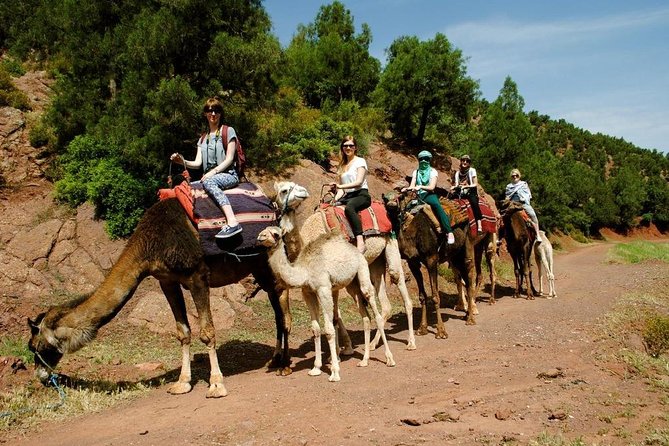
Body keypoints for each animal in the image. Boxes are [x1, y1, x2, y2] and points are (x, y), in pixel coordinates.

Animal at [26, 183, 308, 398]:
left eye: (37, 347)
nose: (41, 376)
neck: (151, 245)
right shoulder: (167, 281)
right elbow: (183, 332)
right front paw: (182, 383)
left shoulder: (197, 276)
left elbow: (207, 332)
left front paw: (216, 384)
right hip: (257, 266)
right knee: (277, 308)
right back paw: (274, 360)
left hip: (266, 260)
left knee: (283, 306)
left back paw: (284, 366)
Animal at [254, 226, 392, 384]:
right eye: (263, 230)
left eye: (276, 234)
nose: (260, 237)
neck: (305, 271)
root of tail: (356, 250)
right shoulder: (308, 293)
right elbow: (315, 329)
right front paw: (316, 368)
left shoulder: (323, 288)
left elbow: (329, 329)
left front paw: (335, 372)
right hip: (352, 285)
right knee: (366, 318)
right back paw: (364, 360)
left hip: (362, 271)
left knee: (376, 312)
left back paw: (389, 359)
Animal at [270, 180, 412, 352]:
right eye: (283, 190)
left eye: (295, 186)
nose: (303, 191)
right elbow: (336, 315)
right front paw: (344, 348)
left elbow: (334, 315)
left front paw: (340, 350)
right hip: (374, 262)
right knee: (384, 301)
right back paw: (372, 344)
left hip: (390, 242)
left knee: (398, 281)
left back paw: (411, 342)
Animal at [380, 190, 496, 332]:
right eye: (385, 199)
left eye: (400, 197)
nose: (391, 205)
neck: (413, 236)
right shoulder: (413, 263)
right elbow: (422, 295)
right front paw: (422, 328)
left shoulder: (431, 259)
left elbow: (435, 296)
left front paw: (441, 330)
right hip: (455, 254)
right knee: (464, 276)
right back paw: (467, 312)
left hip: (471, 242)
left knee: (471, 274)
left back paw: (471, 317)